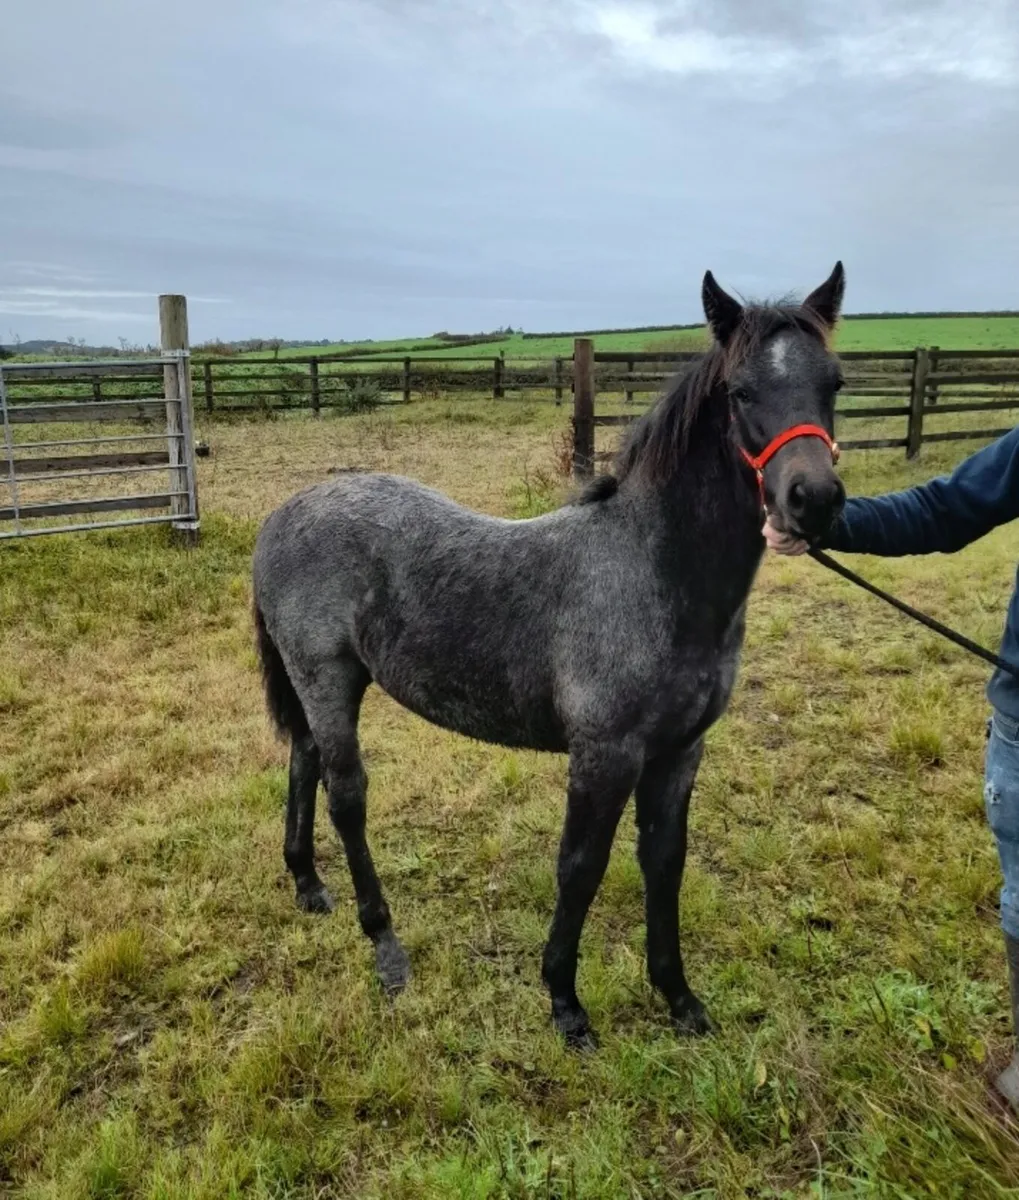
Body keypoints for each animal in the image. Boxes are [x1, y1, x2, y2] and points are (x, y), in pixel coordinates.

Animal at [251, 264, 847, 1046]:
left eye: (835, 382)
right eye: (740, 391)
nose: (814, 500)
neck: (652, 572)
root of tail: (280, 515)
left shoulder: (679, 751)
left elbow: (665, 862)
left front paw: (677, 997)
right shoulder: (604, 753)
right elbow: (580, 867)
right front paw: (565, 1002)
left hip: (320, 684)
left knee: (302, 760)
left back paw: (307, 885)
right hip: (327, 678)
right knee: (345, 795)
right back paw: (383, 943)